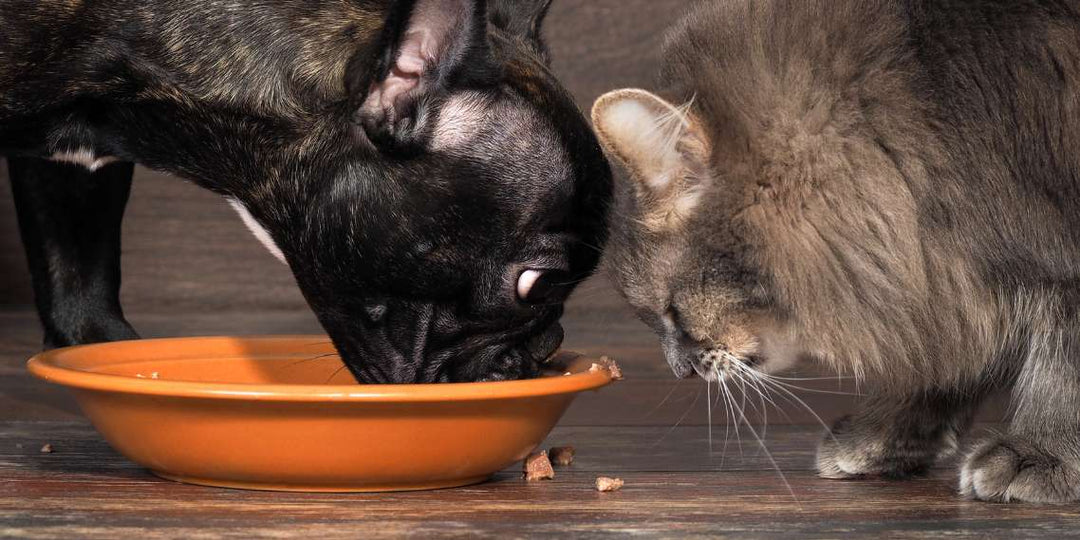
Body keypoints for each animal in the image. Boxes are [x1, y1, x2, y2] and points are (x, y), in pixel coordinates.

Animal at [591, 0, 1080, 503]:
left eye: (671, 311)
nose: (679, 370)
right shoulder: (954, 267)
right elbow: (954, 351)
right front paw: (883, 434)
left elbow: (1064, 360)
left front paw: (1042, 451)